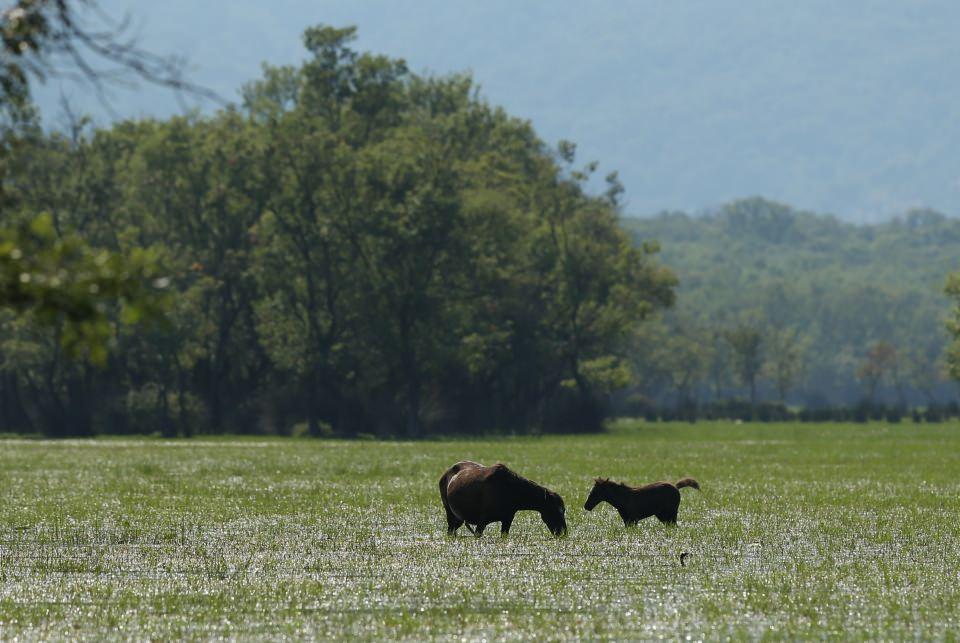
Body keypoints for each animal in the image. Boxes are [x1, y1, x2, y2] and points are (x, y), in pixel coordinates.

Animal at [438, 462, 568, 540]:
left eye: (563, 510)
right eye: (552, 510)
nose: (563, 533)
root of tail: (444, 476)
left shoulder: (507, 519)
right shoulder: (482, 521)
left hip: (458, 519)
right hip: (450, 513)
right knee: (450, 531)